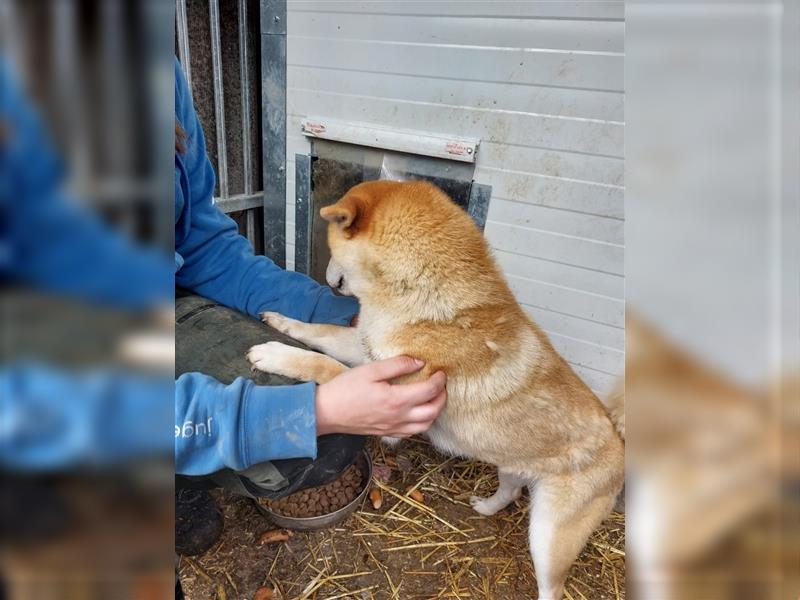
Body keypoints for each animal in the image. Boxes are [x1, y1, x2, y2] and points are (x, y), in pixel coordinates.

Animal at [248, 180, 624, 596]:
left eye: (330, 249)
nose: (328, 279)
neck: (424, 299)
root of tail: (619, 442)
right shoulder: (367, 349)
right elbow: (319, 333)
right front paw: (281, 321)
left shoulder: (389, 402)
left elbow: (324, 366)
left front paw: (275, 355)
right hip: (511, 467)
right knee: (510, 493)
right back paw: (486, 506)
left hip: (549, 536)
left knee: (553, 586)